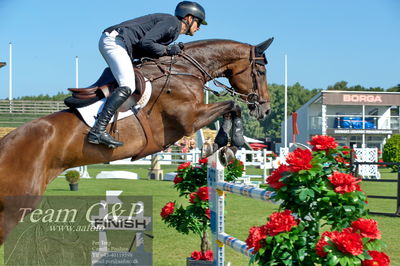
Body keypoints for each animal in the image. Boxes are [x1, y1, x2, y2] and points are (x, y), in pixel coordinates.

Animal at [0, 38, 274, 244]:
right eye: (260, 72)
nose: (266, 110)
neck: (184, 72)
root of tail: (7, 141)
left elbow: (230, 108)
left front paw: (225, 146)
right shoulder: (189, 119)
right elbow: (232, 105)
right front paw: (227, 140)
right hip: (16, 205)